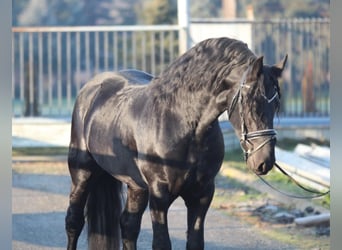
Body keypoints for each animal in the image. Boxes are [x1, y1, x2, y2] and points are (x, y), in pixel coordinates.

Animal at [65, 36, 288, 249]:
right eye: (251, 101)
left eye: (276, 103)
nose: (264, 161)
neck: (180, 122)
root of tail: (91, 88)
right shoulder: (159, 196)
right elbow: (162, 243)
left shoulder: (202, 195)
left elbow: (195, 242)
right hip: (82, 173)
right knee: (74, 221)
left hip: (136, 186)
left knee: (128, 226)